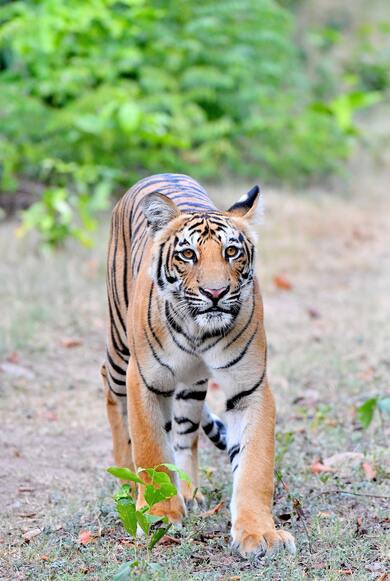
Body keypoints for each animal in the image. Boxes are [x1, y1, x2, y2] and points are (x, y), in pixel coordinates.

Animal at [100, 173, 296, 556]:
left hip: (191, 387)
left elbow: (255, 466)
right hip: (118, 350)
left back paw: (189, 492)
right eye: (188, 254)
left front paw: (260, 533)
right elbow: (150, 451)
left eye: (231, 251)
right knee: (110, 391)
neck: (198, 332)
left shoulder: (249, 388)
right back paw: (126, 479)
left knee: (185, 435)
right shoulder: (143, 379)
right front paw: (159, 515)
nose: (215, 293)